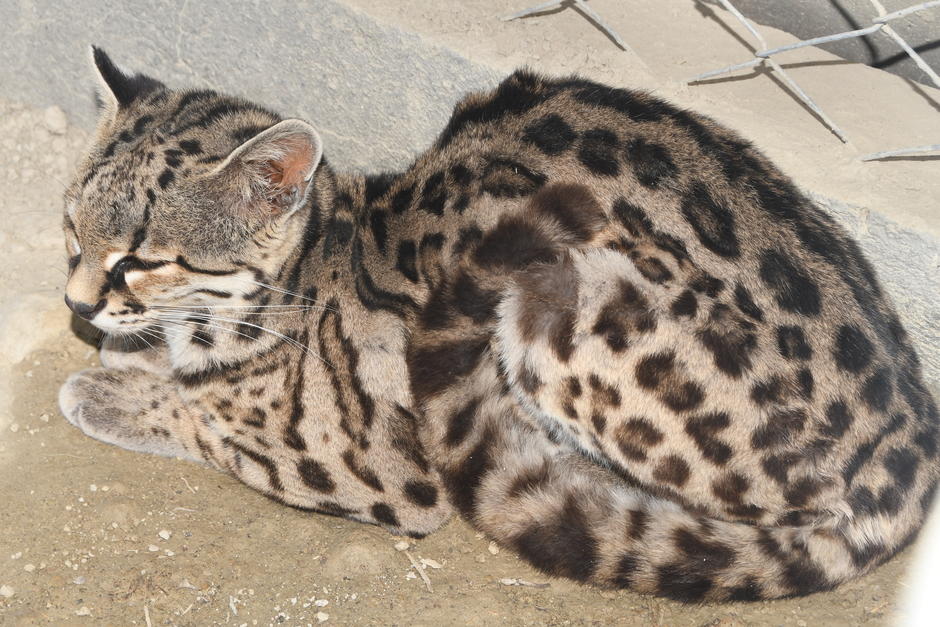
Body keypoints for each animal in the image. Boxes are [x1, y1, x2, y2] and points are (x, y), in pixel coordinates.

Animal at [58, 47, 939, 602]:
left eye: (140, 258)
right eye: (71, 226)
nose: (75, 303)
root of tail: (910, 457)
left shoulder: (369, 463)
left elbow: (214, 420)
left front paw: (117, 389)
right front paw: (133, 354)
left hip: (569, 300)